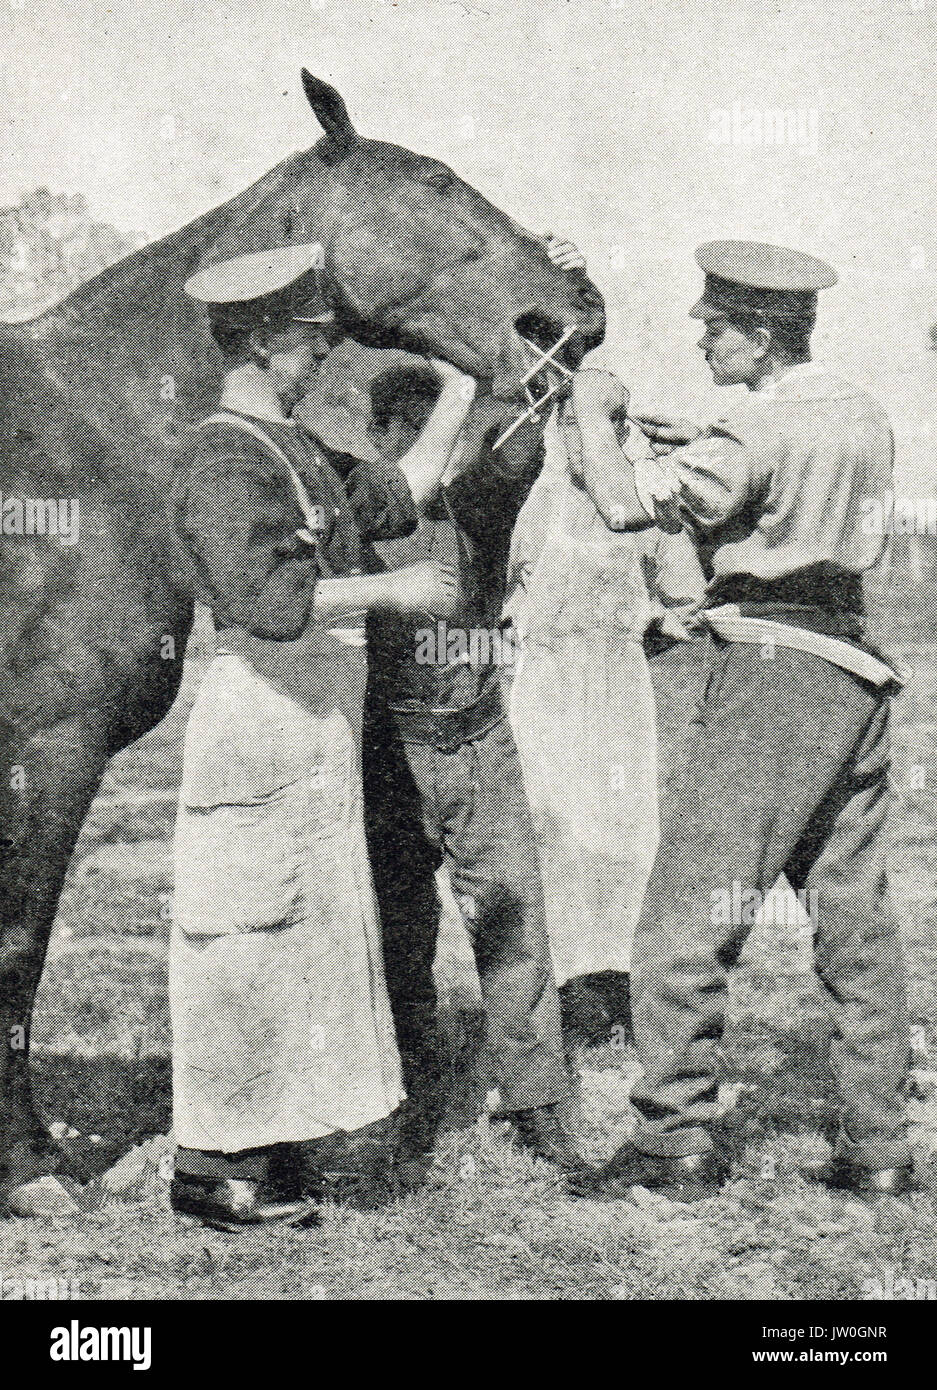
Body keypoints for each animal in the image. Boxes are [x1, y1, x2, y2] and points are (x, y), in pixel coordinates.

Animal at [0, 67, 606, 1206]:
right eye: (435, 181)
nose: (576, 311)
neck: (93, 434)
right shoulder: (48, 748)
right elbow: (19, 943)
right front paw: (27, 1166)